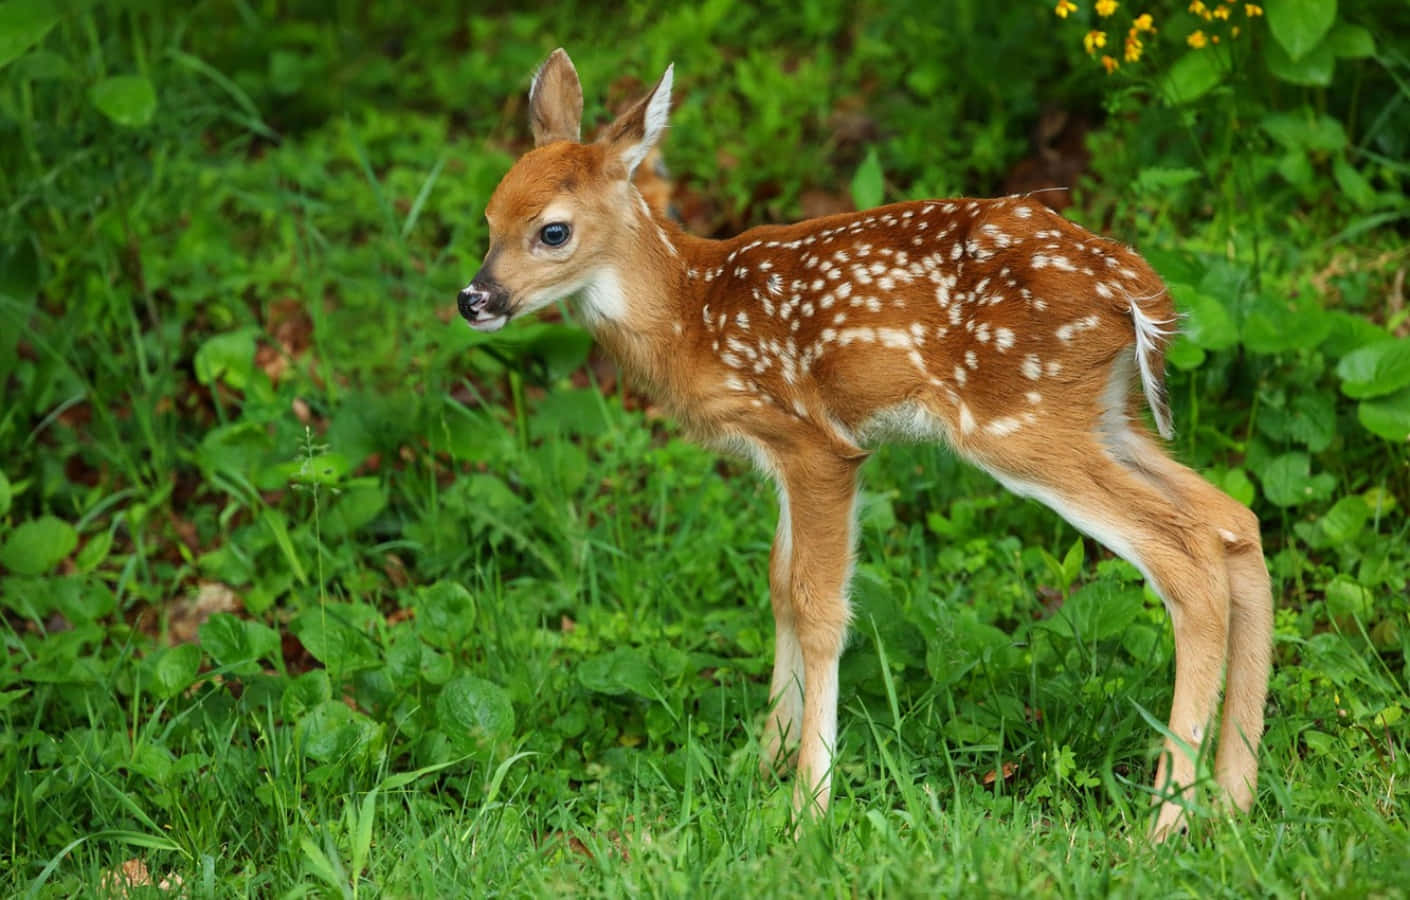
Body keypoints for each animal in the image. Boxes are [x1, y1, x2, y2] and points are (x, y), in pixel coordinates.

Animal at [456, 49, 1273, 840]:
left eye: (552, 230)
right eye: (488, 218)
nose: (474, 299)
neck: (690, 314)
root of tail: (1134, 287)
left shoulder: (815, 442)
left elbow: (818, 606)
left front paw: (807, 806)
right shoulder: (783, 455)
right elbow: (779, 585)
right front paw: (764, 761)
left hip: (1022, 422)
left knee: (1188, 555)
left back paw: (1164, 824)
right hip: (1104, 418)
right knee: (1236, 522)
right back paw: (1233, 799)